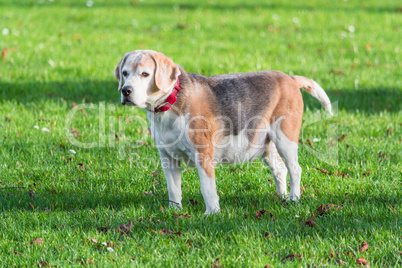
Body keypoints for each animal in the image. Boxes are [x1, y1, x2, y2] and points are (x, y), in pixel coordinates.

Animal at [114, 49, 332, 214]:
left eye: (145, 74)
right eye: (125, 73)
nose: (126, 91)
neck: (171, 102)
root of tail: (290, 78)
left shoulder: (203, 156)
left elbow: (208, 188)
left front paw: (212, 213)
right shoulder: (168, 159)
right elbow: (173, 189)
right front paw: (174, 212)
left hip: (285, 139)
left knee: (295, 169)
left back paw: (294, 199)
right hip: (265, 145)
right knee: (280, 170)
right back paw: (282, 197)